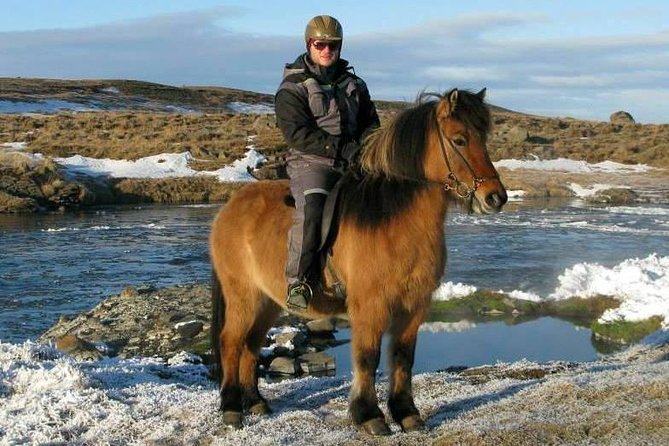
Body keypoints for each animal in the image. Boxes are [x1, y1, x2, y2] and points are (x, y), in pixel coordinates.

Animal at [209, 87, 506, 436]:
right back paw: (232, 408)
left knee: (251, 344)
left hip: (268, 300)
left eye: (483, 137)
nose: (496, 197)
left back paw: (256, 402)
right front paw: (369, 415)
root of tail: (228, 209)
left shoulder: (415, 306)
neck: (395, 221)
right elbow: (368, 357)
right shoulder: (370, 305)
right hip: (243, 295)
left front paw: (406, 413)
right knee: (231, 342)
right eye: (459, 139)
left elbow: (403, 357)